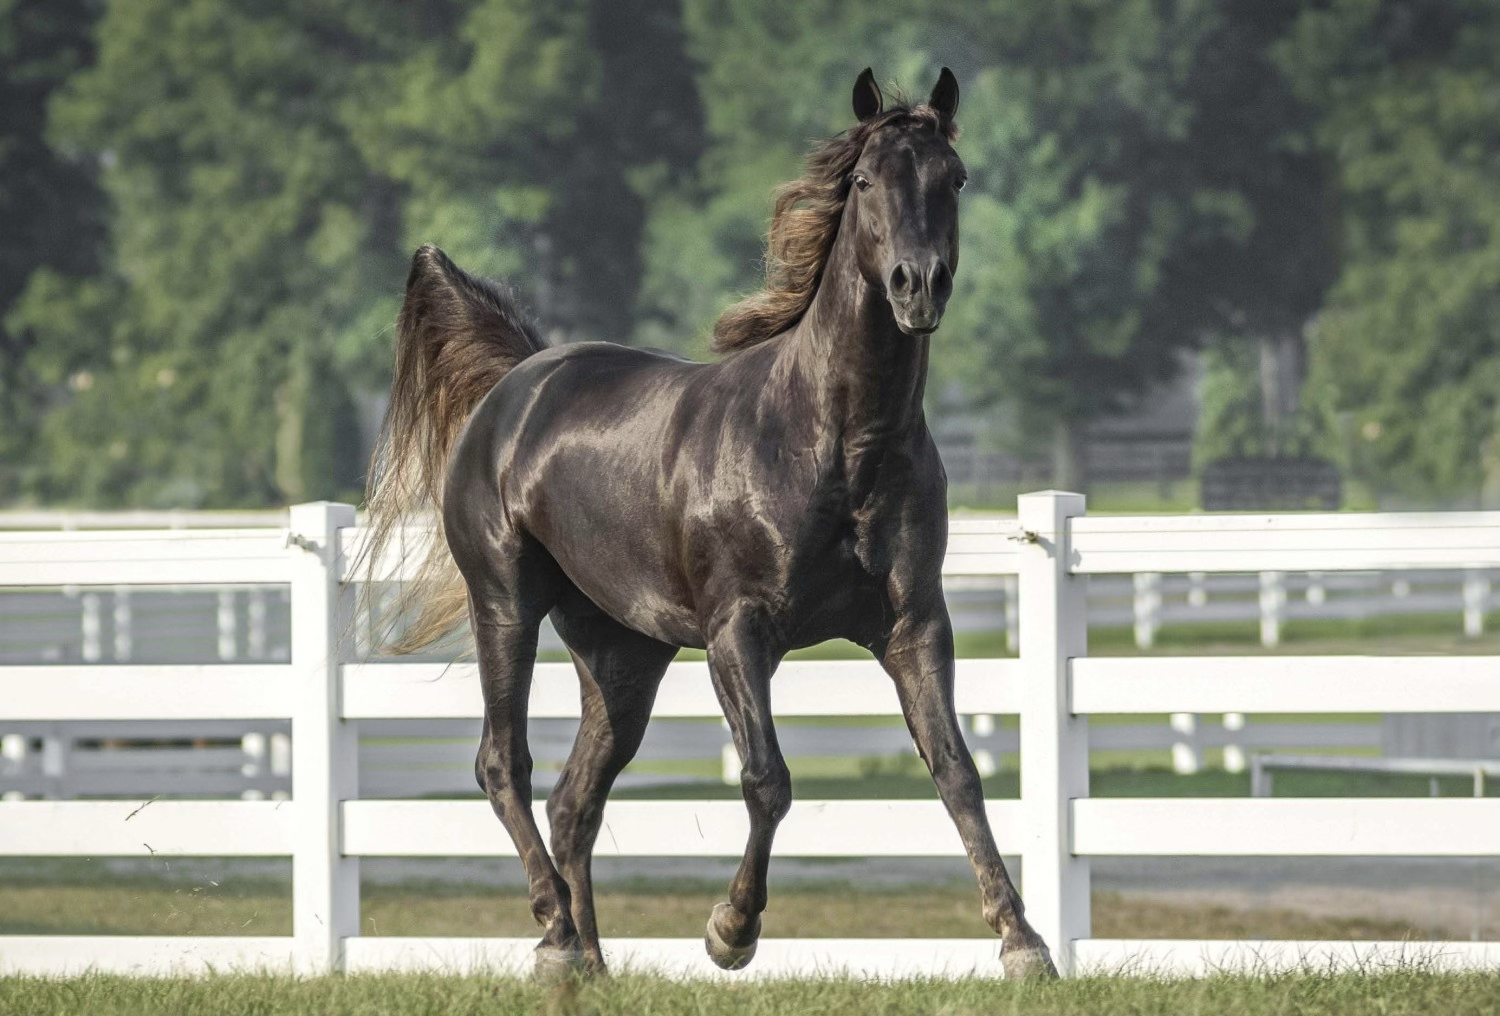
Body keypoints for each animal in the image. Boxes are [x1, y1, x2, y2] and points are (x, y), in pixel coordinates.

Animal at [363, 67, 1057, 980]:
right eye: (866, 182)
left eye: (956, 178)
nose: (920, 285)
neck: (834, 441)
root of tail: (517, 384)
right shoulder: (739, 633)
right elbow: (767, 779)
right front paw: (732, 929)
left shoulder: (913, 627)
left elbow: (957, 771)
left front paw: (1023, 942)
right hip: (505, 604)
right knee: (502, 765)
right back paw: (554, 932)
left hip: (623, 656)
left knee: (574, 800)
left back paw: (588, 964)